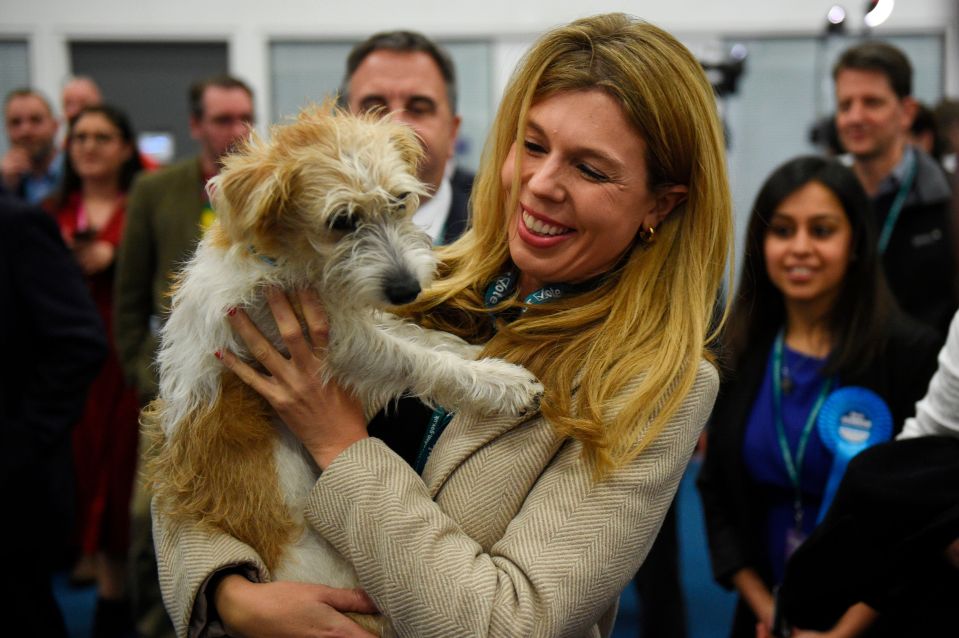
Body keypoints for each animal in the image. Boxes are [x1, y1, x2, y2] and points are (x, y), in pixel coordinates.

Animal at [147, 102, 544, 636]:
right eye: (341, 221)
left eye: (399, 200)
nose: (407, 289)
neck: (290, 261)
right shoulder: (335, 344)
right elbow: (416, 358)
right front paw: (500, 382)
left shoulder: (350, 319)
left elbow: (421, 338)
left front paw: (478, 351)